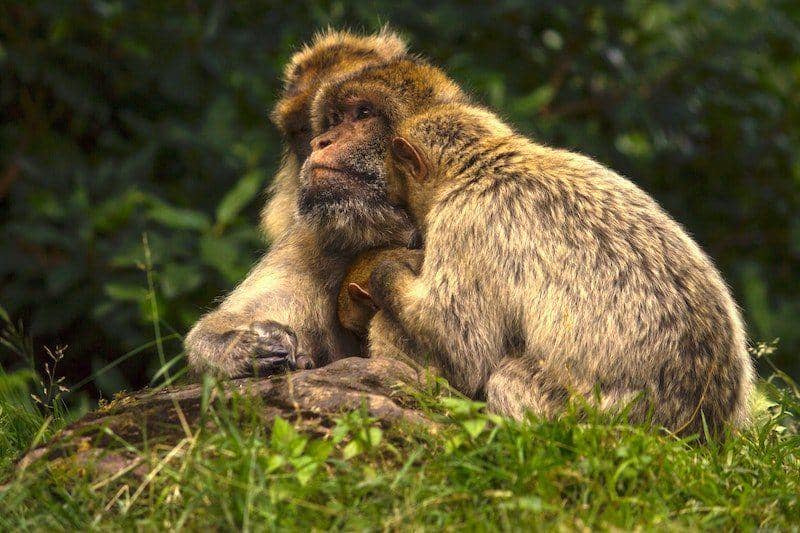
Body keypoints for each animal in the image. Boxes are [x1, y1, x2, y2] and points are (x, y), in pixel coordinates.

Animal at [305, 61, 754, 435]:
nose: (323, 141)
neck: (485, 165)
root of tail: (701, 429)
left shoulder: (464, 222)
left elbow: (461, 347)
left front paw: (388, 272)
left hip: (587, 415)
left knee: (506, 378)